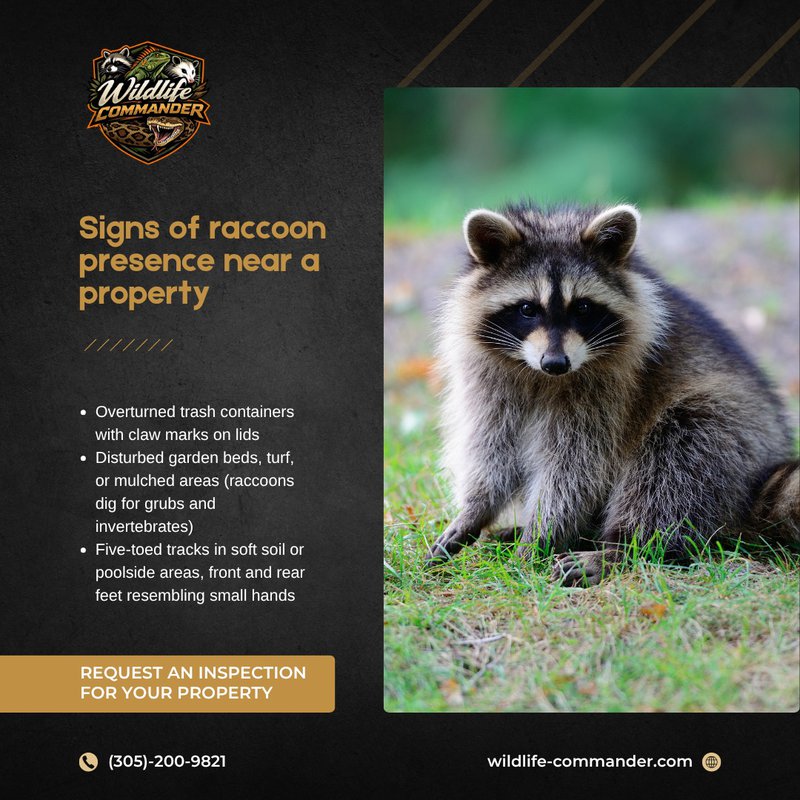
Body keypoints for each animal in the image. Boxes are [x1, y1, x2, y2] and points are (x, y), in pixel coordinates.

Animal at [426, 203, 799, 585]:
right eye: (528, 309)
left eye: (583, 308)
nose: (555, 363)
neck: (540, 376)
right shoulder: (488, 380)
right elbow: (491, 448)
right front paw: (475, 510)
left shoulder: (611, 392)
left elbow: (576, 467)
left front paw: (541, 535)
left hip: (732, 430)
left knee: (675, 463)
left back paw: (621, 550)